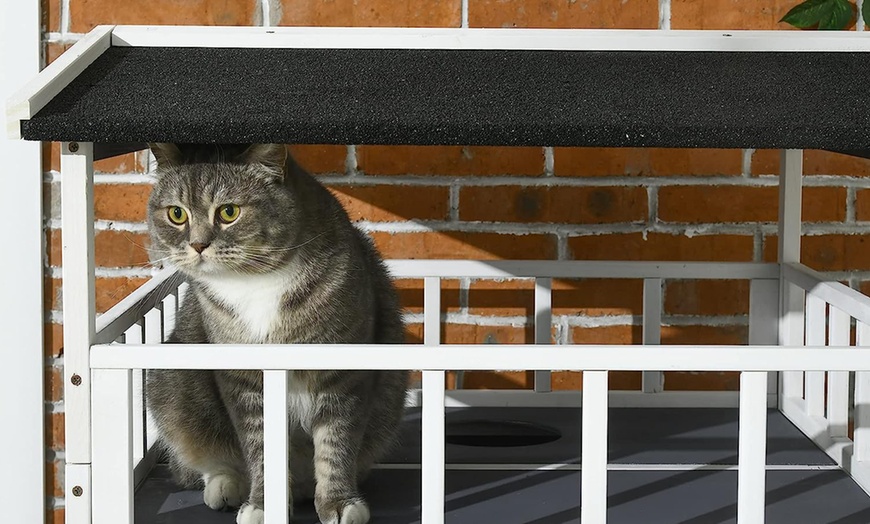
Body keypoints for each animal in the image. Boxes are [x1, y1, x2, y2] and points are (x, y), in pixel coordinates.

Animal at [146, 143, 408, 524]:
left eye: (229, 212)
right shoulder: (242, 379)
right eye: (176, 214)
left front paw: (338, 503)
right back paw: (224, 486)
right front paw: (264, 504)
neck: (255, 283)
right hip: (172, 383)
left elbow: (336, 442)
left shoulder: (344, 371)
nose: (197, 245)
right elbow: (260, 446)